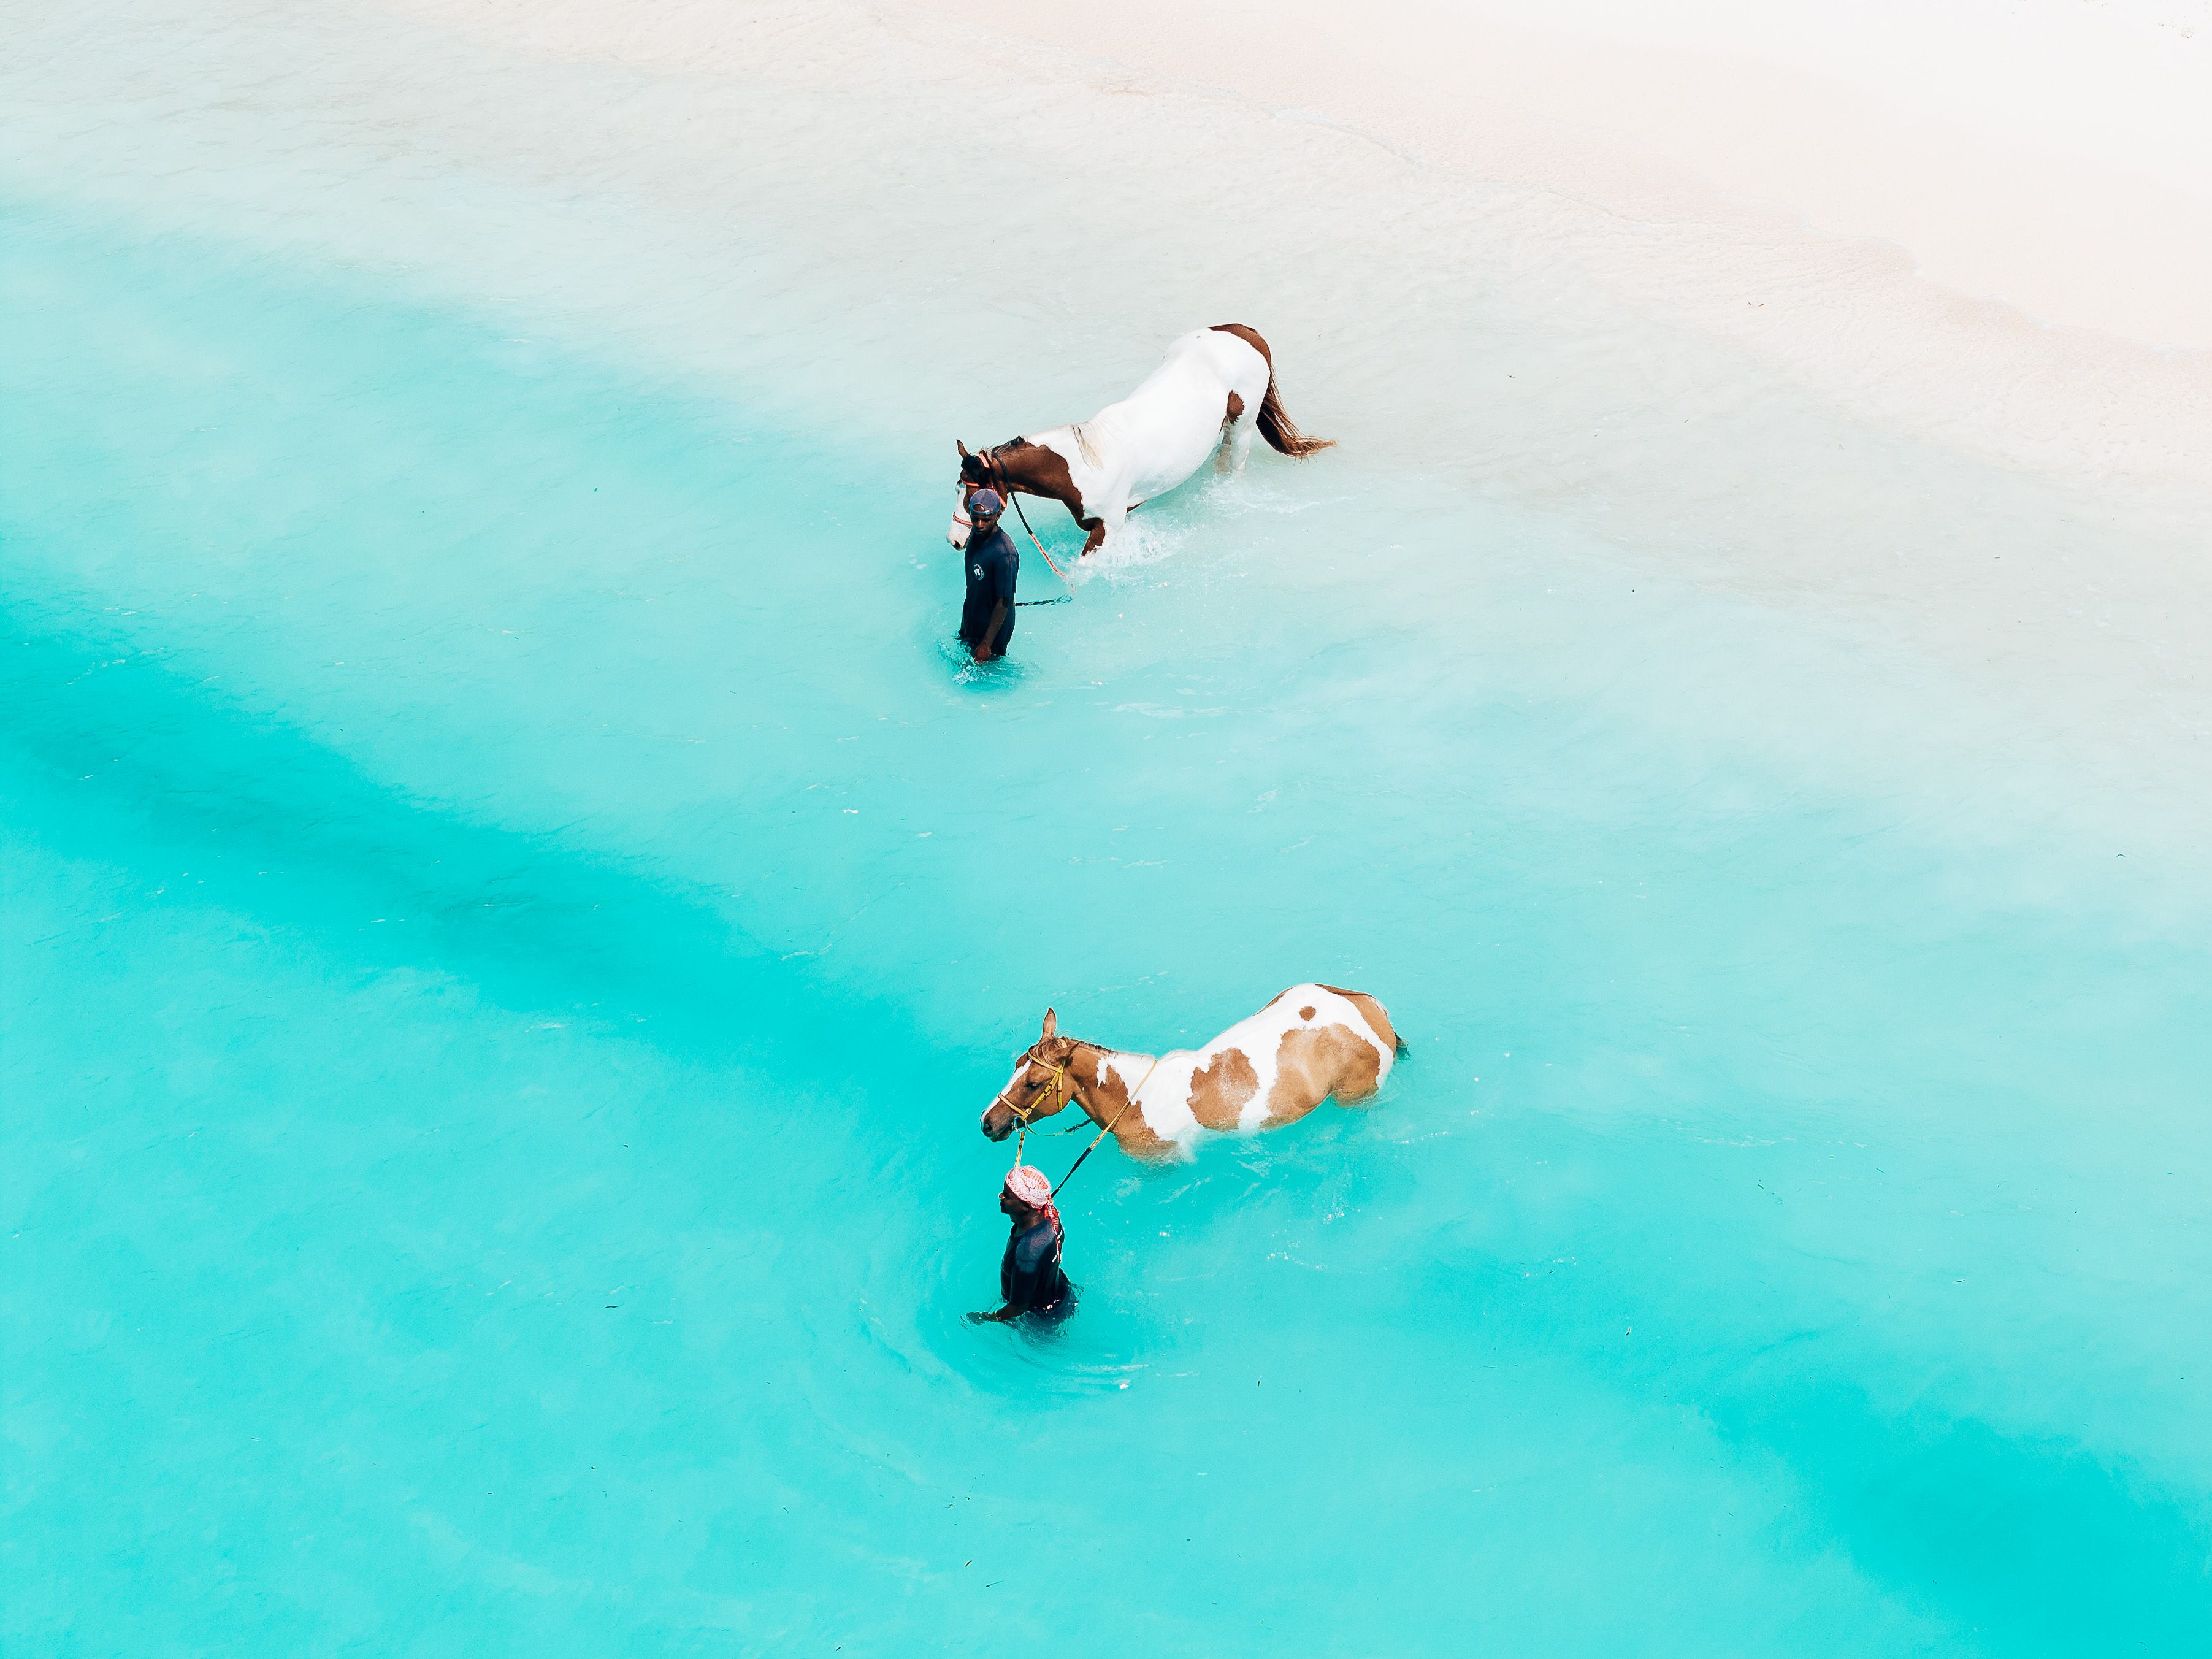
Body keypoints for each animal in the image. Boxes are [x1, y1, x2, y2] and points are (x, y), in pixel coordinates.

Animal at [948, 323, 1332, 559]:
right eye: (959, 488)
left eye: (975, 498)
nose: (954, 540)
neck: (1083, 467)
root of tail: (1244, 332)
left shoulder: (1108, 528)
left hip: (1243, 427)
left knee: (1235, 465)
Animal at [979, 985, 1403, 1164]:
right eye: (1015, 1066)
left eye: (1033, 1083)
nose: (987, 1123)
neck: (1135, 1102)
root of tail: (1369, 1005)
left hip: (1357, 1094)